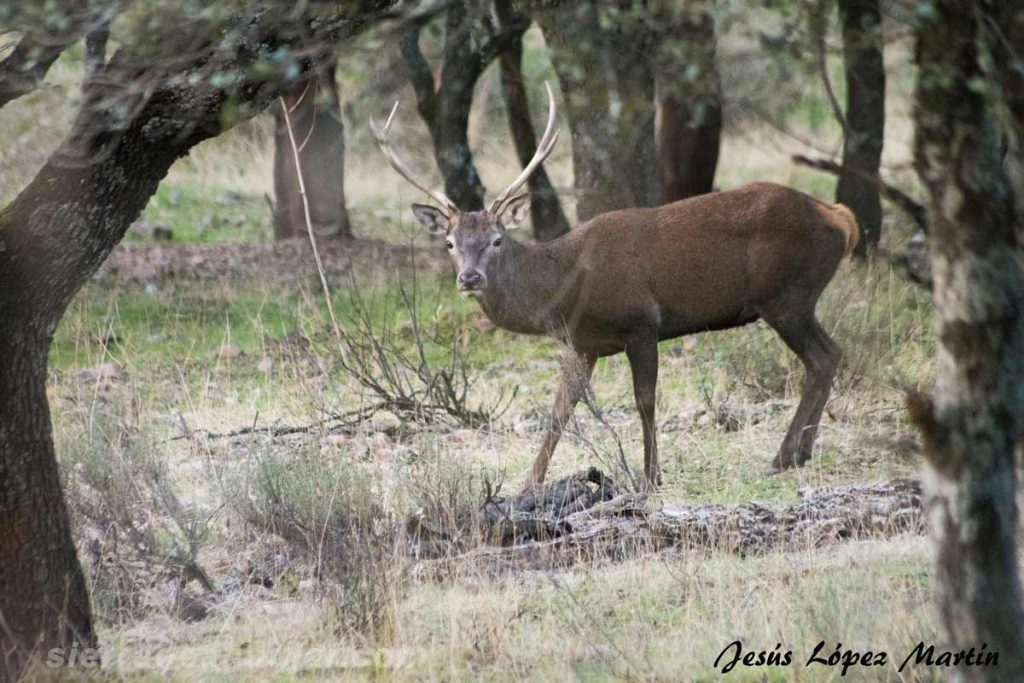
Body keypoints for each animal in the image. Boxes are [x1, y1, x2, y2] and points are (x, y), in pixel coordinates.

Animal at [372, 84, 858, 492]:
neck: (566, 289)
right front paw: (528, 484)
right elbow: (559, 411)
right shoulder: (582, 344)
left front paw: (650, 477)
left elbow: (645, 401)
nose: (470, 278)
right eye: (450, 243)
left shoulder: (641, 322)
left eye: (497, 239)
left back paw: (785, 456)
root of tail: (839, 217)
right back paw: (795, 454)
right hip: (793, 299)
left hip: (788, 296)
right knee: (829, 355)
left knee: (822, 357)